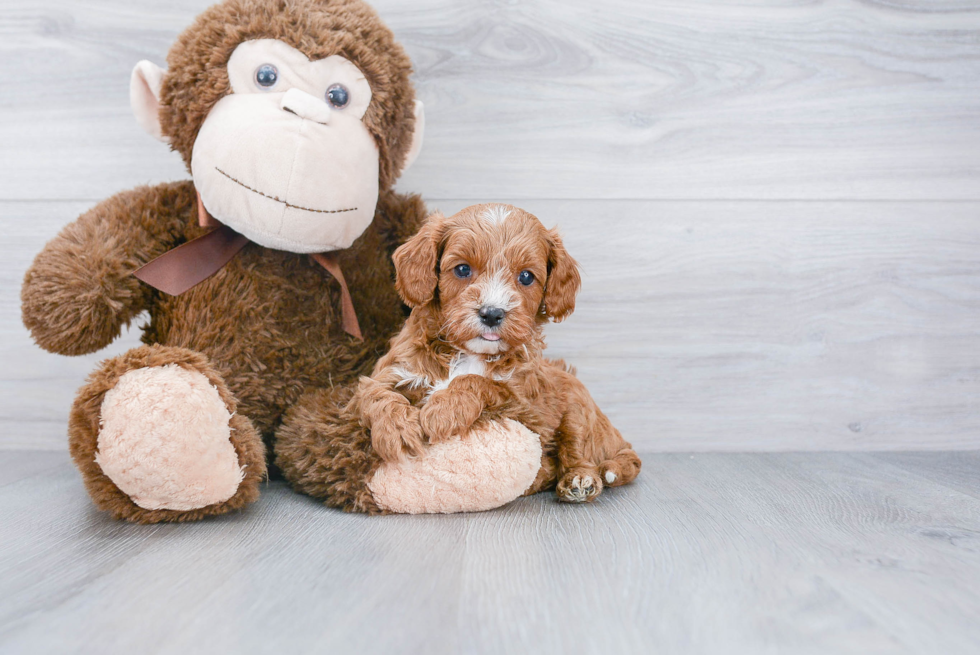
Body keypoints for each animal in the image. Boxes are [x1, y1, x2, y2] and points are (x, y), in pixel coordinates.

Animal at [348, 204, 640, 502]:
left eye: (526, 276)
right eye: (462, 269)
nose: (491, 313)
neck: (470, 353)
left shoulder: (530, 409)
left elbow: (483, 383)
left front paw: (443, 410)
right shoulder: (392, 369)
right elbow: (376, 394)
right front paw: (397, 431)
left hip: (575, 400)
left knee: (579, 449)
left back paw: (580, 480)